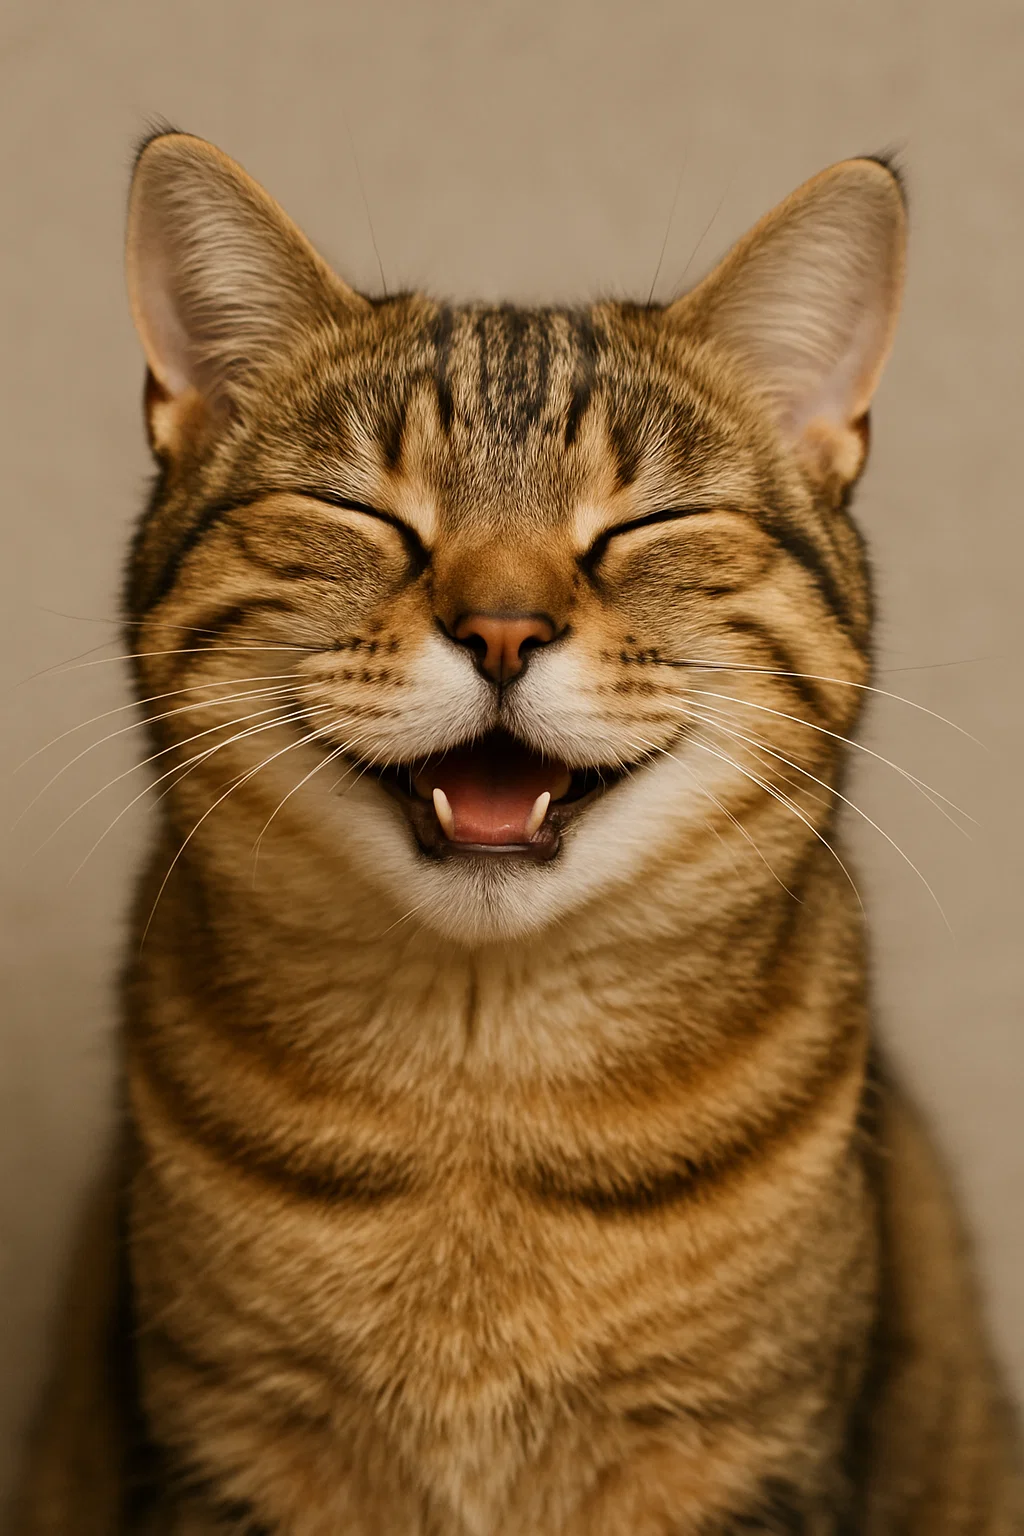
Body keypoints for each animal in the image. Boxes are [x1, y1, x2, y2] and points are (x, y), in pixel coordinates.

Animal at [13, 132, 1022, 1534]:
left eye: (645, 525)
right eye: (362, 512)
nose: (501, 628)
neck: (478, 1120)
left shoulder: (744, 1459)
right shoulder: (226, 1447)